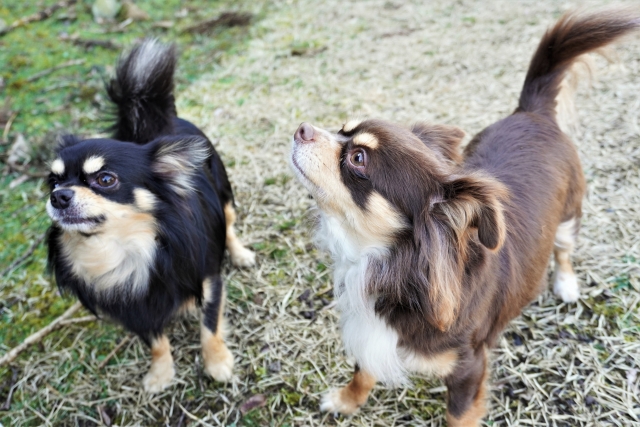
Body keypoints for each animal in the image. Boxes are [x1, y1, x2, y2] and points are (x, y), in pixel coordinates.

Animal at [45, 39, 255, 392]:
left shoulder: (208, 281)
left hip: (224, 194)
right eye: (54, 182)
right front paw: (160, 374)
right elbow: (156, 341)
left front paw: (217, 363)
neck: (125, 247)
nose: (58, 197)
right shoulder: (133, 308)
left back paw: (240, 254)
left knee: (228, 225)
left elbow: (209, 325)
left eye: (105, 179)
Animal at [292, 9, 640, 424]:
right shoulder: (370, 333)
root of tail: (530, 112)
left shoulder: (468, 368)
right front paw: (346, 401)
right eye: (341, 129)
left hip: (570, 214)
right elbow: (362, 371)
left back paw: (566, 283)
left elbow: (457, 415)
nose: (301, 127)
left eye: (358, 158)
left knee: (564, 248)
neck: (382, 263)